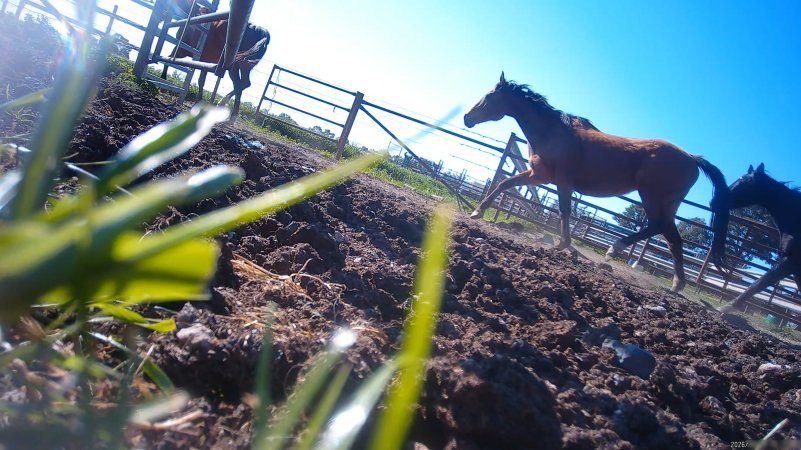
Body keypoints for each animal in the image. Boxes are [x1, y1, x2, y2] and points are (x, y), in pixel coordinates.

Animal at [463, 73, 729, 292]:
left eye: (489, 96)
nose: (467, 118)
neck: (553, 133)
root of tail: (692, 158)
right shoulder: (538, 175)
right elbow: (504, 185)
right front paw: (477, 212)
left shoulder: (562, 181)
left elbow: (564, 210)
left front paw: (563, 244)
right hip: (666, 203)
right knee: (672, 238)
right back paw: (675, 284)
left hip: (652, 196)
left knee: (659, 228)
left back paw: (616, 249)